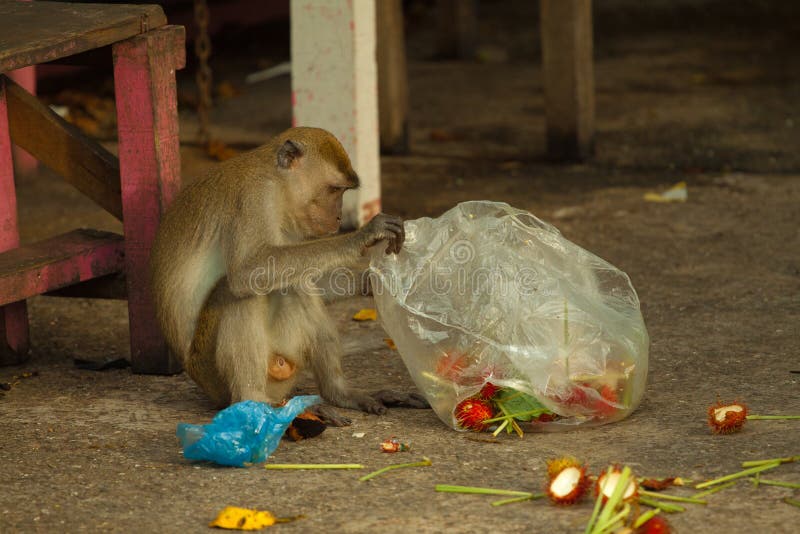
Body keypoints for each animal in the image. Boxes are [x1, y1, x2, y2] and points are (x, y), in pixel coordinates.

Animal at [148, 126, 424, 422]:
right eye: (335, 189)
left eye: (343, 191)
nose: (339, 217)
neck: (278, 186)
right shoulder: (254, 198)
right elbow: (248, 271)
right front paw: (362, 236)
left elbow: (298, 274)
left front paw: (366, 282)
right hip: (211, 374)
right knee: (238, 292)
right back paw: (253, 400)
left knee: (293, 286)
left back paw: (339, 392)